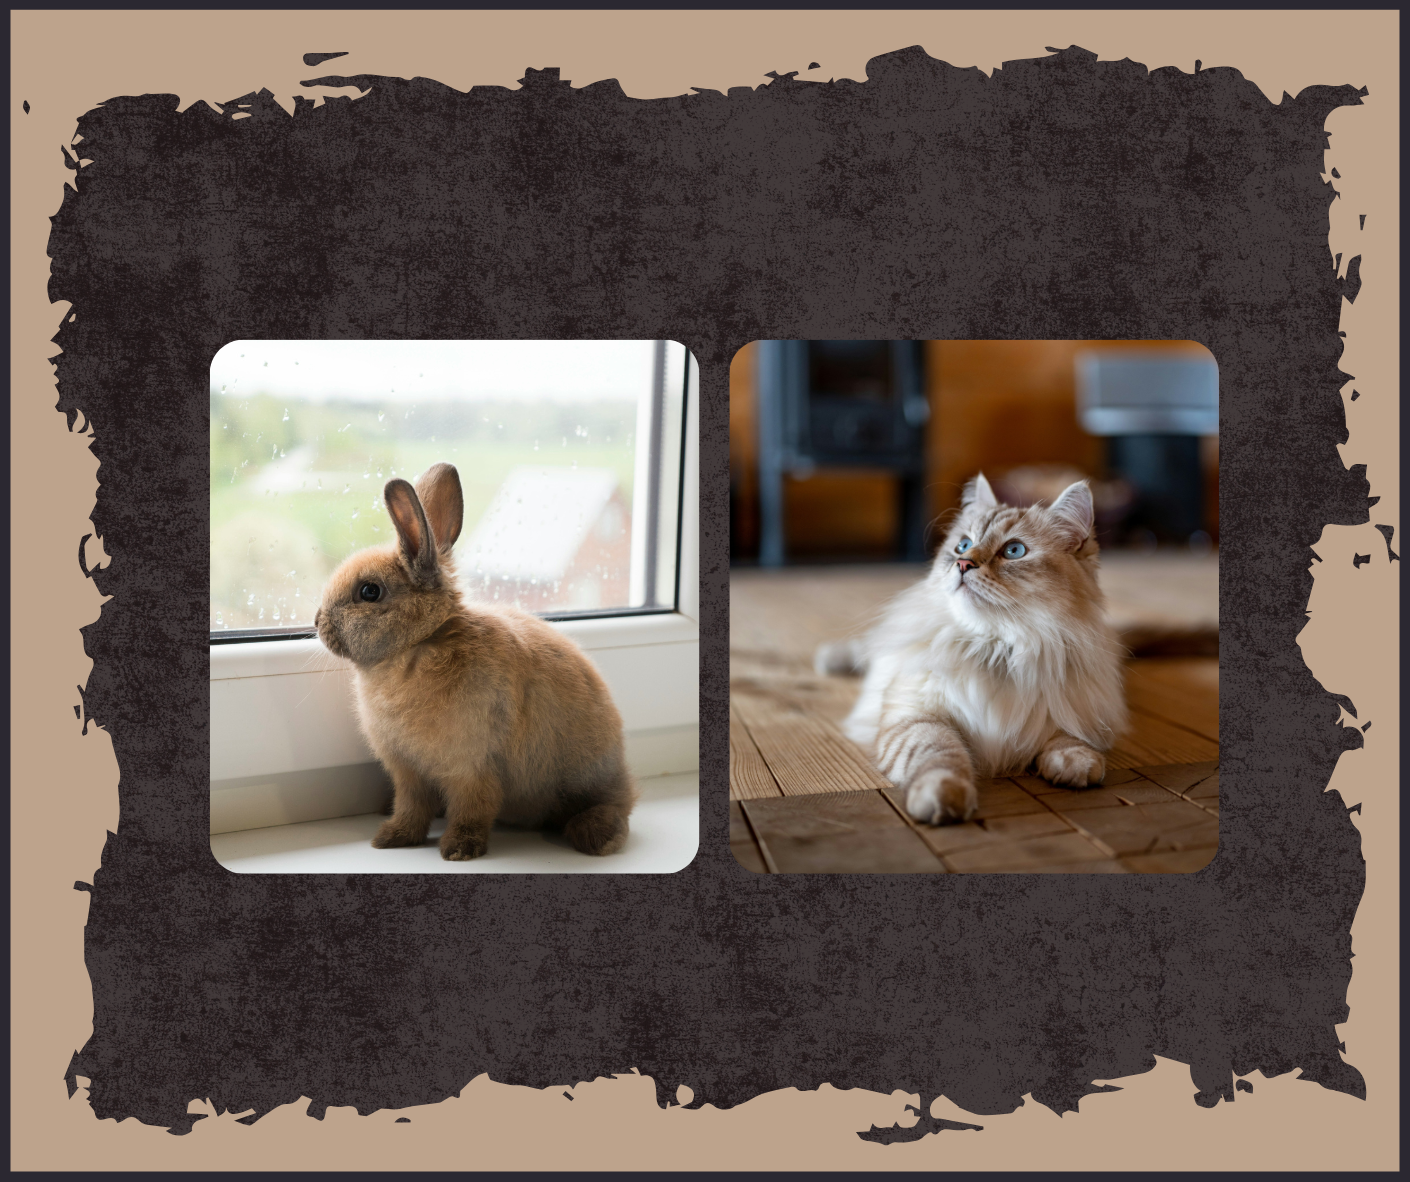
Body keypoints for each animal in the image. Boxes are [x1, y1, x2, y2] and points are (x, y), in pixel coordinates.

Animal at [314, 462, 637, 860]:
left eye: (369, 591)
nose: (317, 622)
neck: (420, 643)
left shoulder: (472, 767)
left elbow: (473, 808)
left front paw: (459, 849)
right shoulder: (408, 773)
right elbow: (411, 807)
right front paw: (392, 838)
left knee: (614, 807)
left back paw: (597, 836)